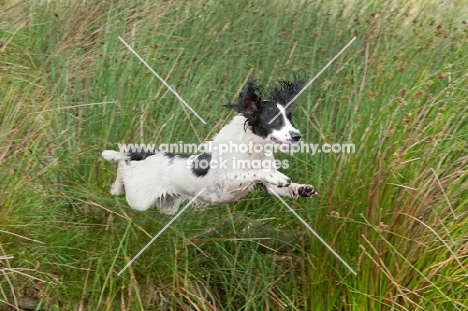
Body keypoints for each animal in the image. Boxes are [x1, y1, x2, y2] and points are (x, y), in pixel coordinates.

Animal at [102, 78, 318, 214]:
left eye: (290, 118)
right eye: (274, 120)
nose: (297, 136)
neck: (253, 151)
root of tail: (149, 154)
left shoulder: (269, 189)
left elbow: (281, 187)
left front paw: (302, 188)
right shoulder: (226, 183)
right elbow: (254, 172)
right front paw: (279, 176)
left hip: (167, 206)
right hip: (138, 198)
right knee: (123, 168)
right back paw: (114, 176)